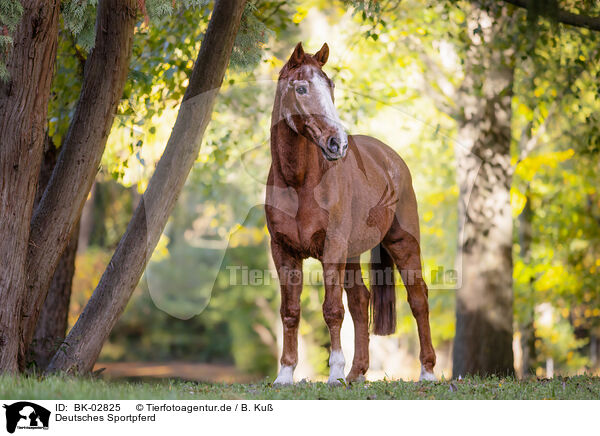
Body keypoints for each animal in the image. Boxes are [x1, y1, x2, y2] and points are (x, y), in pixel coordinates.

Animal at [264, 42, 434, 384]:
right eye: (301, 88)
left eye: (330, 86)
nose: (337, 144)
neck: (298, 183)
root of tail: (391, 158)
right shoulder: (283, 251)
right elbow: (290, 311)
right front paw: (285, 374)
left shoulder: (332, 248)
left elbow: (332, 310)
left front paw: (334, 373)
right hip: (353, 254)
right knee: (360, 300)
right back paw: (357, 373)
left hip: (403, 244)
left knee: (418, 298)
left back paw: (427, 371)